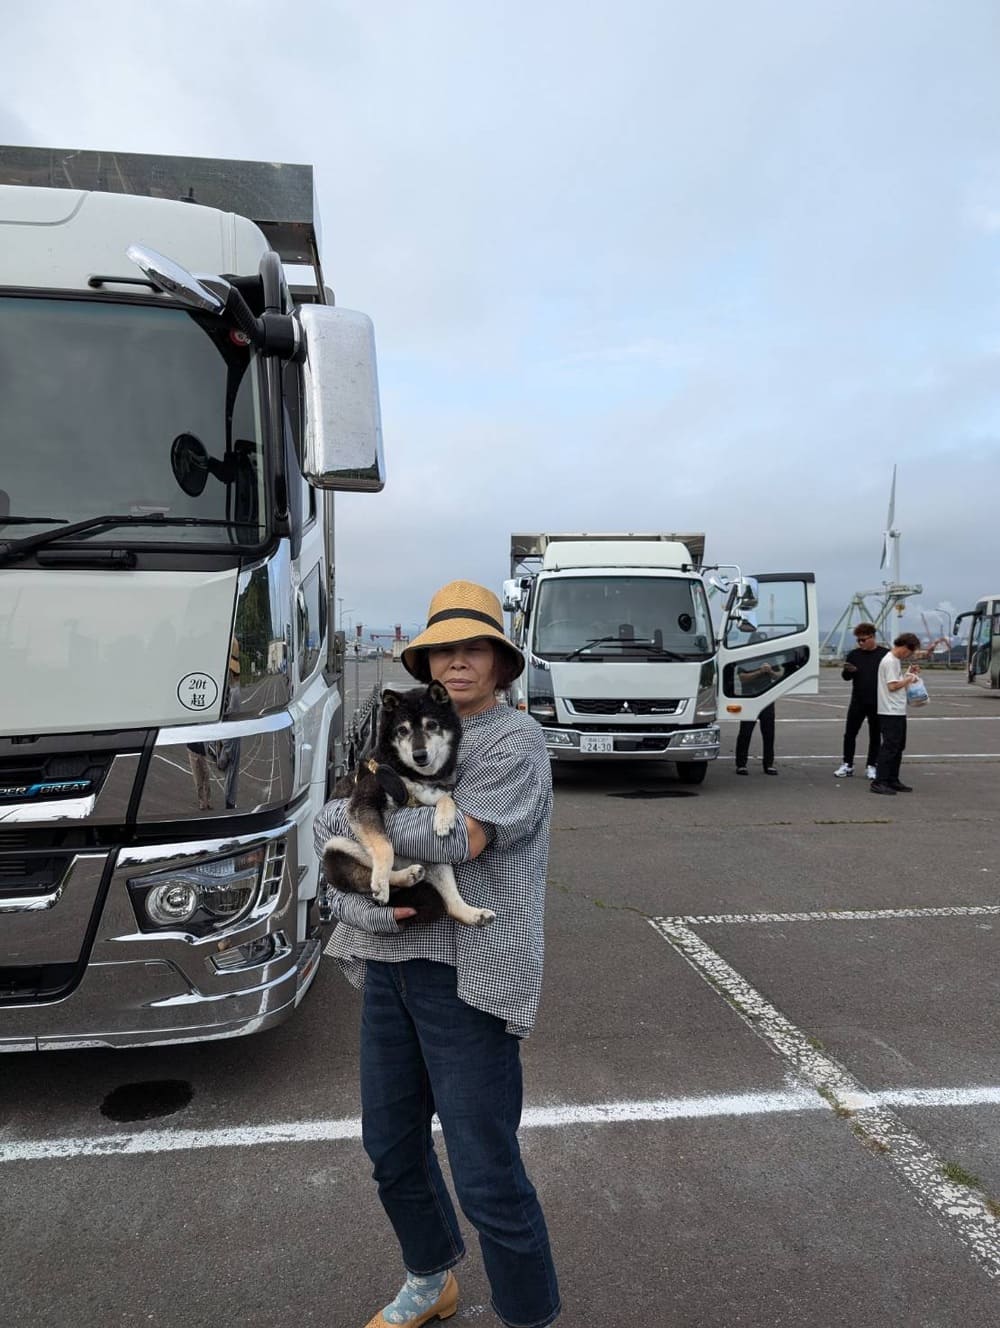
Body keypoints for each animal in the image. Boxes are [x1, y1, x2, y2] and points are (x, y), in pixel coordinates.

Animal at [324, 679, 496, 929]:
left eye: (431, 725)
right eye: (402, 730)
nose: (419, 755)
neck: (413, 775)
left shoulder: (433, 791)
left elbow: (445, 798)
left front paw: (444, 820)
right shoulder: (362, 803)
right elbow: (385, 846)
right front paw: (381, 883)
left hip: (438, 860)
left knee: (452, 905)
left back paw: (473, 913)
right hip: (338, 845)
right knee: (368, 876)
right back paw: (397, 879)